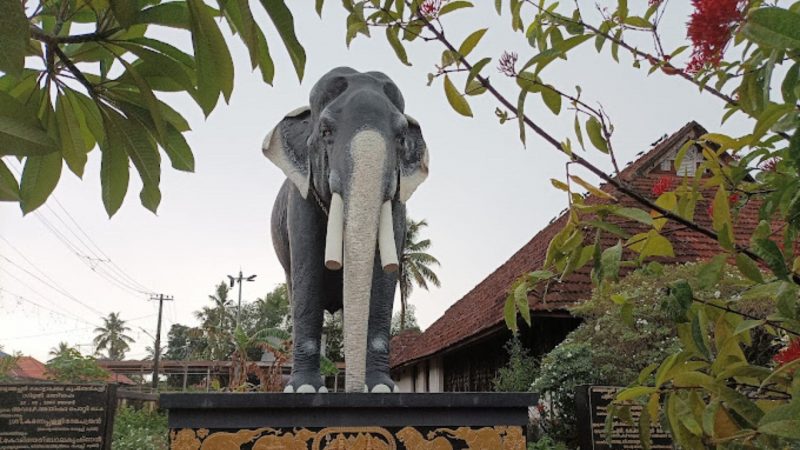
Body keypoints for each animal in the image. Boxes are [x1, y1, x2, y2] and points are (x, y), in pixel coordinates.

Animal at [264, 67, 428, 394]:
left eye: (401, 136)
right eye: (326, 131)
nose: (353, 390)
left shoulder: (398, 207)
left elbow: (384, 277)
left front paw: (381, 389)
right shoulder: (299, 202)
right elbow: (307, 274)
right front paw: (304, 389)